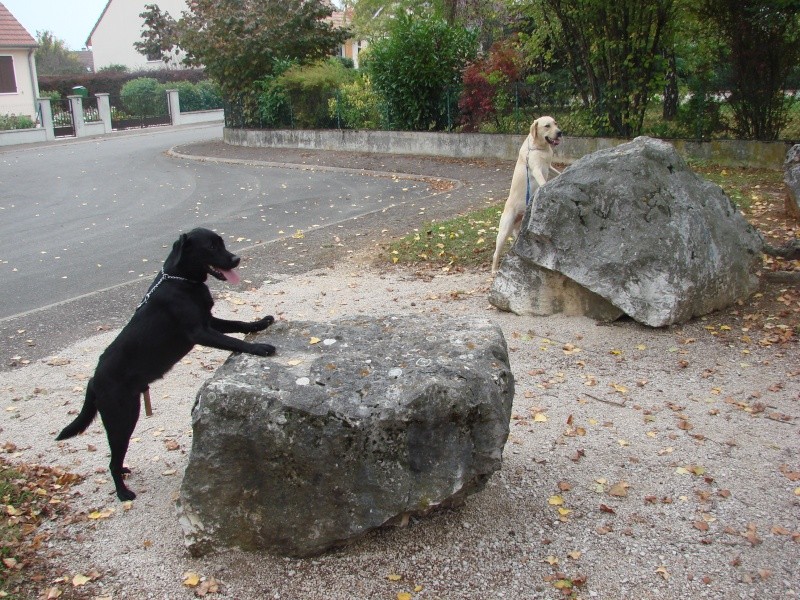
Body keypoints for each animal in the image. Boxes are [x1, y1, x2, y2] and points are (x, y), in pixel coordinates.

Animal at [56, 227, 276, 500]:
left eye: (222, 243)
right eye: (211, 247)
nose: (236, 259)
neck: (182, 281)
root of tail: (94, 380)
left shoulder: (210, 321)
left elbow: (238, 324)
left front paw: (260, 323)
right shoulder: (199, 332)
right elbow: (233, 341)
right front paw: (259, 348)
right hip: (122, 418)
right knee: (112, 461)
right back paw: (123, 492)